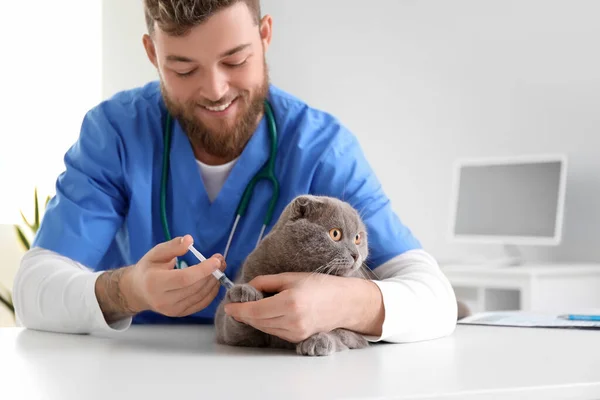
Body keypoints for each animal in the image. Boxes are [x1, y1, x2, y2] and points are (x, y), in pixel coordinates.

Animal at [216, 194, 370, 356]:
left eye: (358, 238)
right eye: (335, 234)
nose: (356, 255)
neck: (296, 267)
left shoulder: (356, 335)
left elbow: (340, 332)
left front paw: (318, 340)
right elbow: (236, 330)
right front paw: (244, 292)